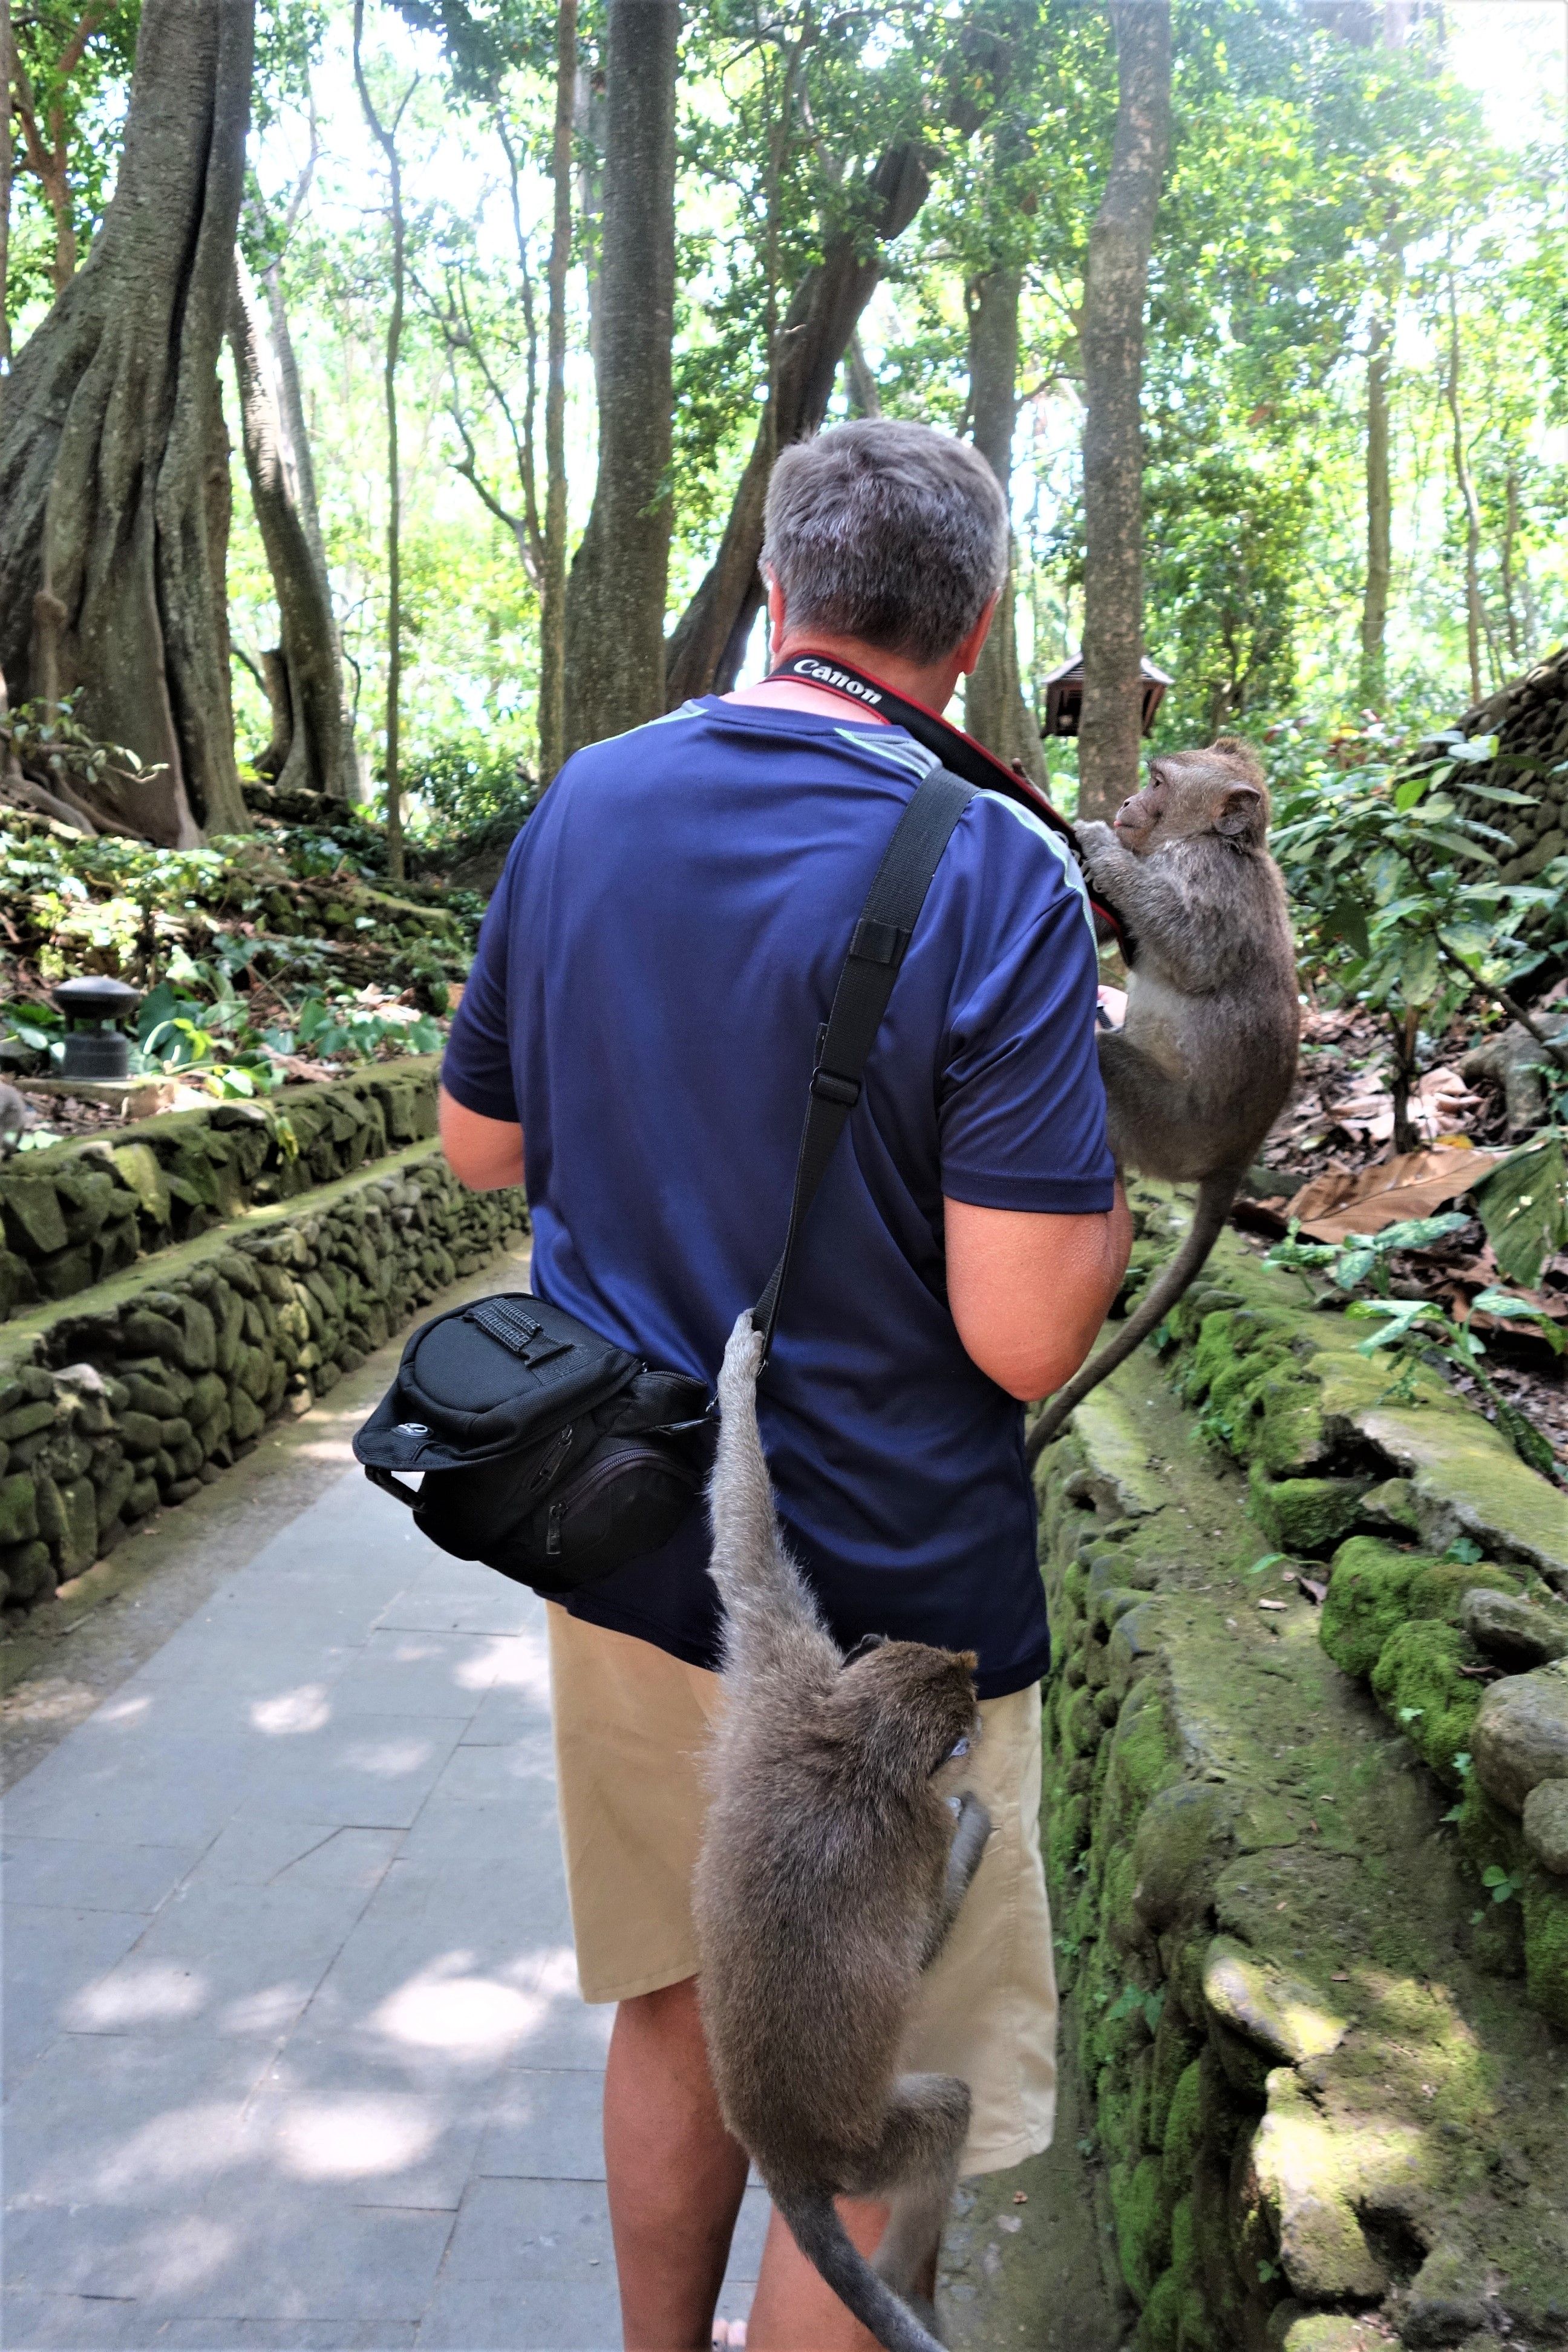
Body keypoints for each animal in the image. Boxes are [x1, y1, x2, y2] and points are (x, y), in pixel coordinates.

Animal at [693, 1312, 993, 2352]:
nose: (974, 1664)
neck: (853, 1744)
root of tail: (782, 2157)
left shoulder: (787, 1678)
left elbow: (744, 1559)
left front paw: (739, 1379)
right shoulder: (912, 1834)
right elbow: (925, 1937)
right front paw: (977, 1817)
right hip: (869, 2150)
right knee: (943, 2116)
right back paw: (910, 2287)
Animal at [1026, 740, 1298, 1464]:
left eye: (1155, 783)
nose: (1125, 801)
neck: (1217, 840)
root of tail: (1237, 1158)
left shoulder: (1203, 871)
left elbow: (1189, 943)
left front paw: (1092, 837)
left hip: (1170, 1128)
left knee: (1106, 1063)